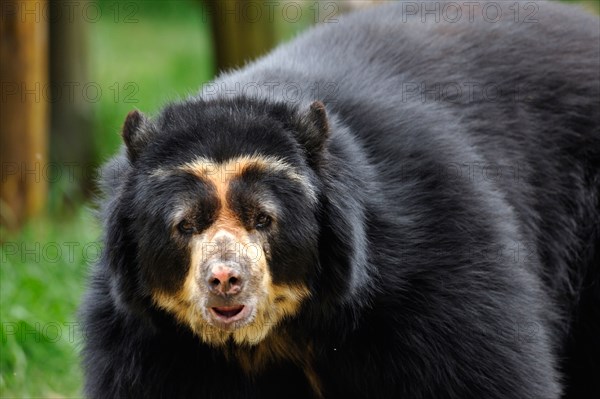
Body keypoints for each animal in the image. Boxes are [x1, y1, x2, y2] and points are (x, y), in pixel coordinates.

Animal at [81, 1, 600, 398]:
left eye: (263, 219)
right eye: (186, 224)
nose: (225, 280)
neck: (279, 331)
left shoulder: (437, 263)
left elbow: (483, 370)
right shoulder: (148, 340)